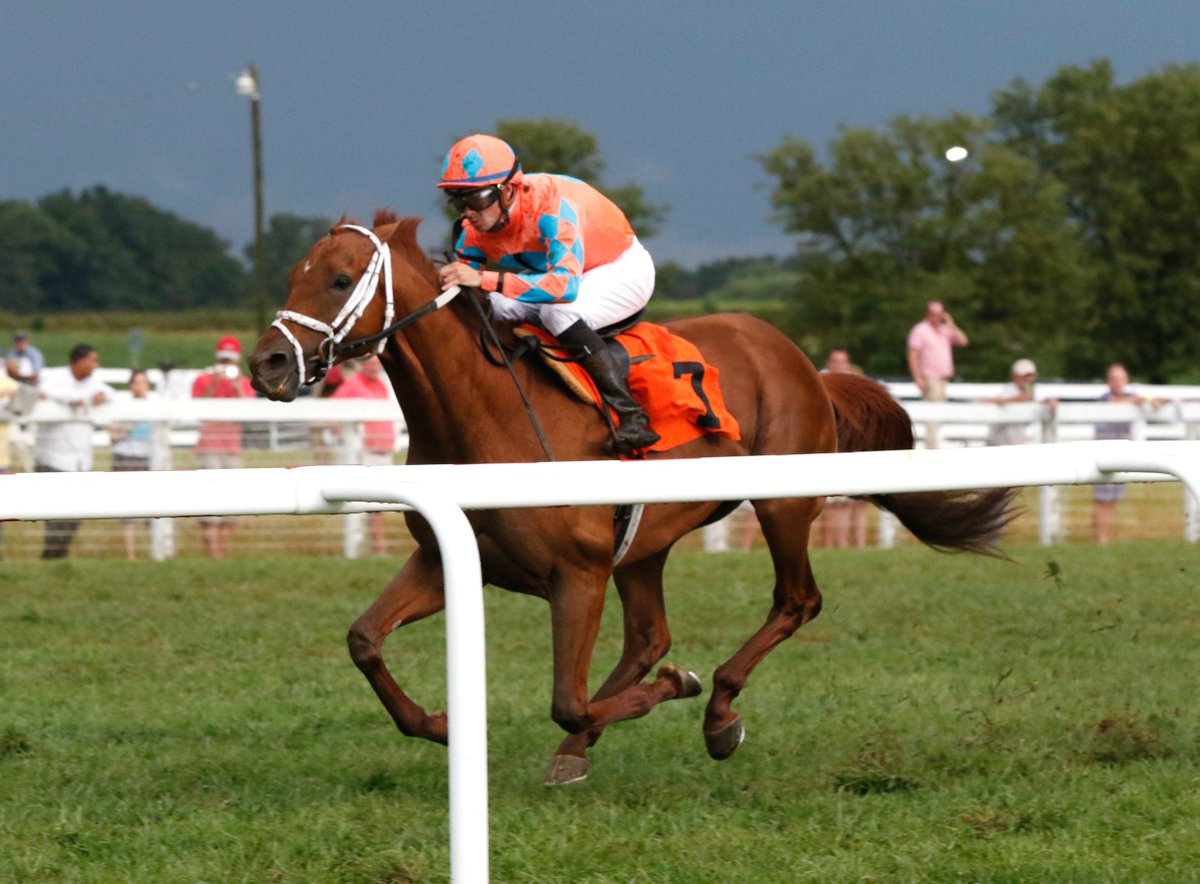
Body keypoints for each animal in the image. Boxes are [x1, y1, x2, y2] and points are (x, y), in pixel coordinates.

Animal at [248, 211, 1014, 785]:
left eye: (340, 278)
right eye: (292, 276)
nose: (267, 364)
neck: (489, 415)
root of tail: (803, 361)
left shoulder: (577, 575)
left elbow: (567, 700)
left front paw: (680, 689)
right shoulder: (451, 557)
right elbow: (363, 640)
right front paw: (441, 724)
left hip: (783, 505)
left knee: (796, 601)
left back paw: (718, 712)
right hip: (646, 541)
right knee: (649, 634)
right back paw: (591, 744)